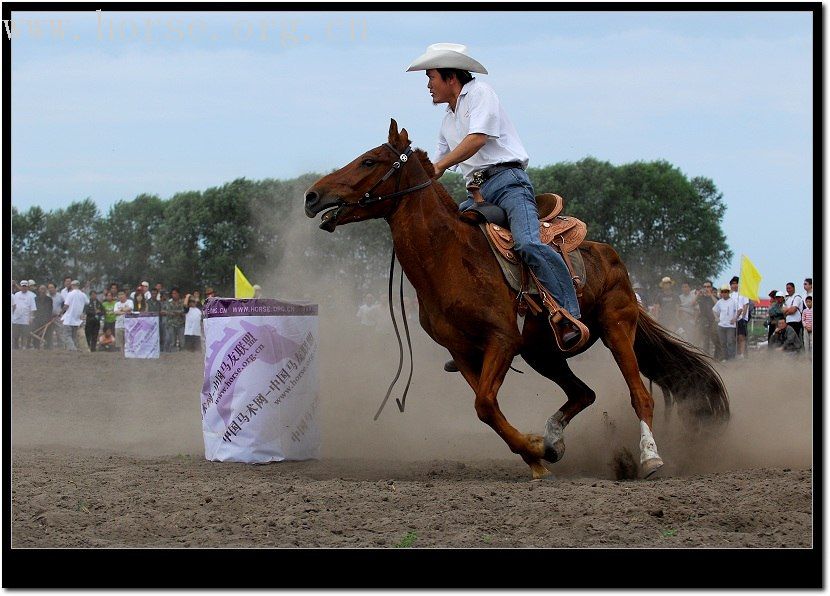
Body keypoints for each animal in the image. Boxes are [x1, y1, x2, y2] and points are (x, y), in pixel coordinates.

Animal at [304, 120, 728, 480]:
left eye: (369, 160)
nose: (312, 195)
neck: (450, 256)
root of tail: (610, 256)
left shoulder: (502, 340)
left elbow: (485, 405)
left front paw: (534, 450)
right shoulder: (462, 350)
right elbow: (486, 408)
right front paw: (538, 454)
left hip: (616, 329)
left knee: (640, 396)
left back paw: (650, 458)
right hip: (543, 352)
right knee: (583, 393)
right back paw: (555, 440)